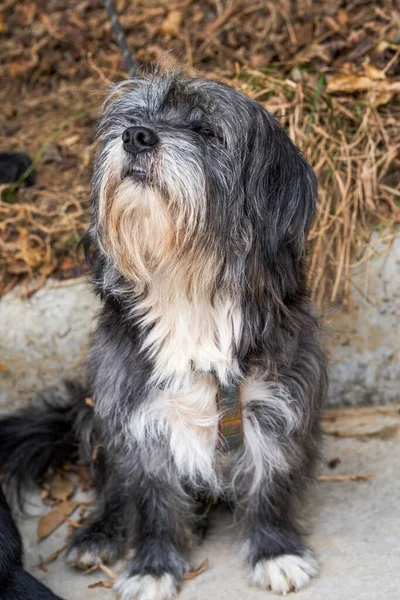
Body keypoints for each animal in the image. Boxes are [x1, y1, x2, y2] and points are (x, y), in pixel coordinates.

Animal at [0, 74, 324, 600]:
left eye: (206, 130)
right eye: (135, 117)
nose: (135, 136)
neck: (185, 286)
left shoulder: (277, 404)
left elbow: (270, 483)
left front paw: (275, 551)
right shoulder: (137, 414)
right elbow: (151, 498)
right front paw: (152, 565)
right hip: (97, 413)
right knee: (113, 489)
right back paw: (100, 533)